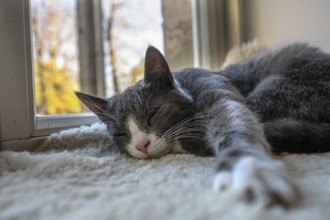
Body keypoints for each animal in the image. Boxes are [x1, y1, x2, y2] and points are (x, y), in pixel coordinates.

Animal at [75, 43, 330, 208]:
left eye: (152, 114)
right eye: (121, 133)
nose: (142, 145)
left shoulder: (215, 90)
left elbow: (234, 119)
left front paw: (249, 170)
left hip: (280, 86)